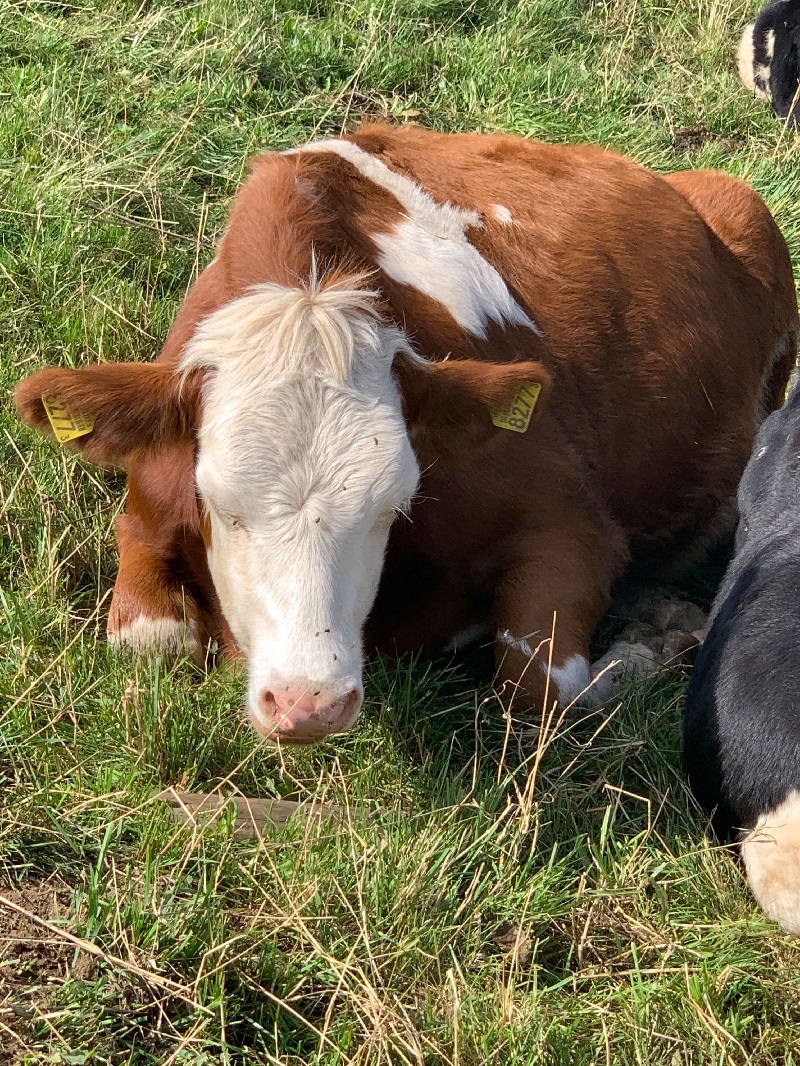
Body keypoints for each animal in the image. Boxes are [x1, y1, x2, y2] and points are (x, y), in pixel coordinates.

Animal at [15, 122, 797, 741]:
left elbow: (536, 688)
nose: (309, 703)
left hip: (753, 219)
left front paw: (653, 648)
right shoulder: (150, 506)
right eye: (221, 505)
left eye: (392, 505)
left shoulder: (571, 520)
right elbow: (147, 642)